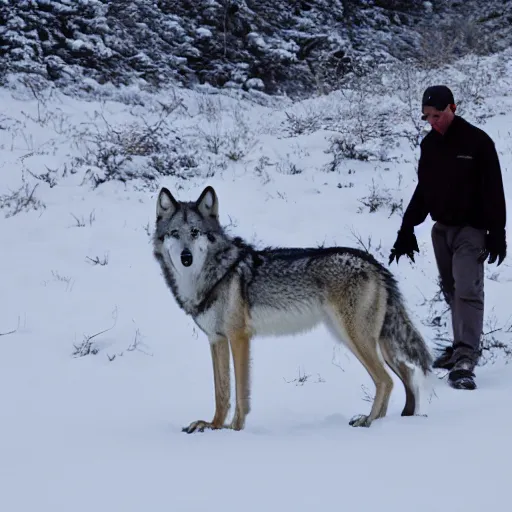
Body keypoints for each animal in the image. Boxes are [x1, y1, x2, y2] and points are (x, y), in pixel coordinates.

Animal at [152, 184, 432, 432]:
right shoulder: (216, 339)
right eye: (175, 233)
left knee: (386, 380)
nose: (185, 257)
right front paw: (213, 426)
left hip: (355, 338)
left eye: (195, 232)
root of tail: (374, 262)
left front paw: (235, 429)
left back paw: (368, 421)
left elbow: (241, 393)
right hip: (366, 341)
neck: (211, 275)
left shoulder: (239, 338)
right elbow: (221, 393)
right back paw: (382, 421)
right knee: (404, 375)